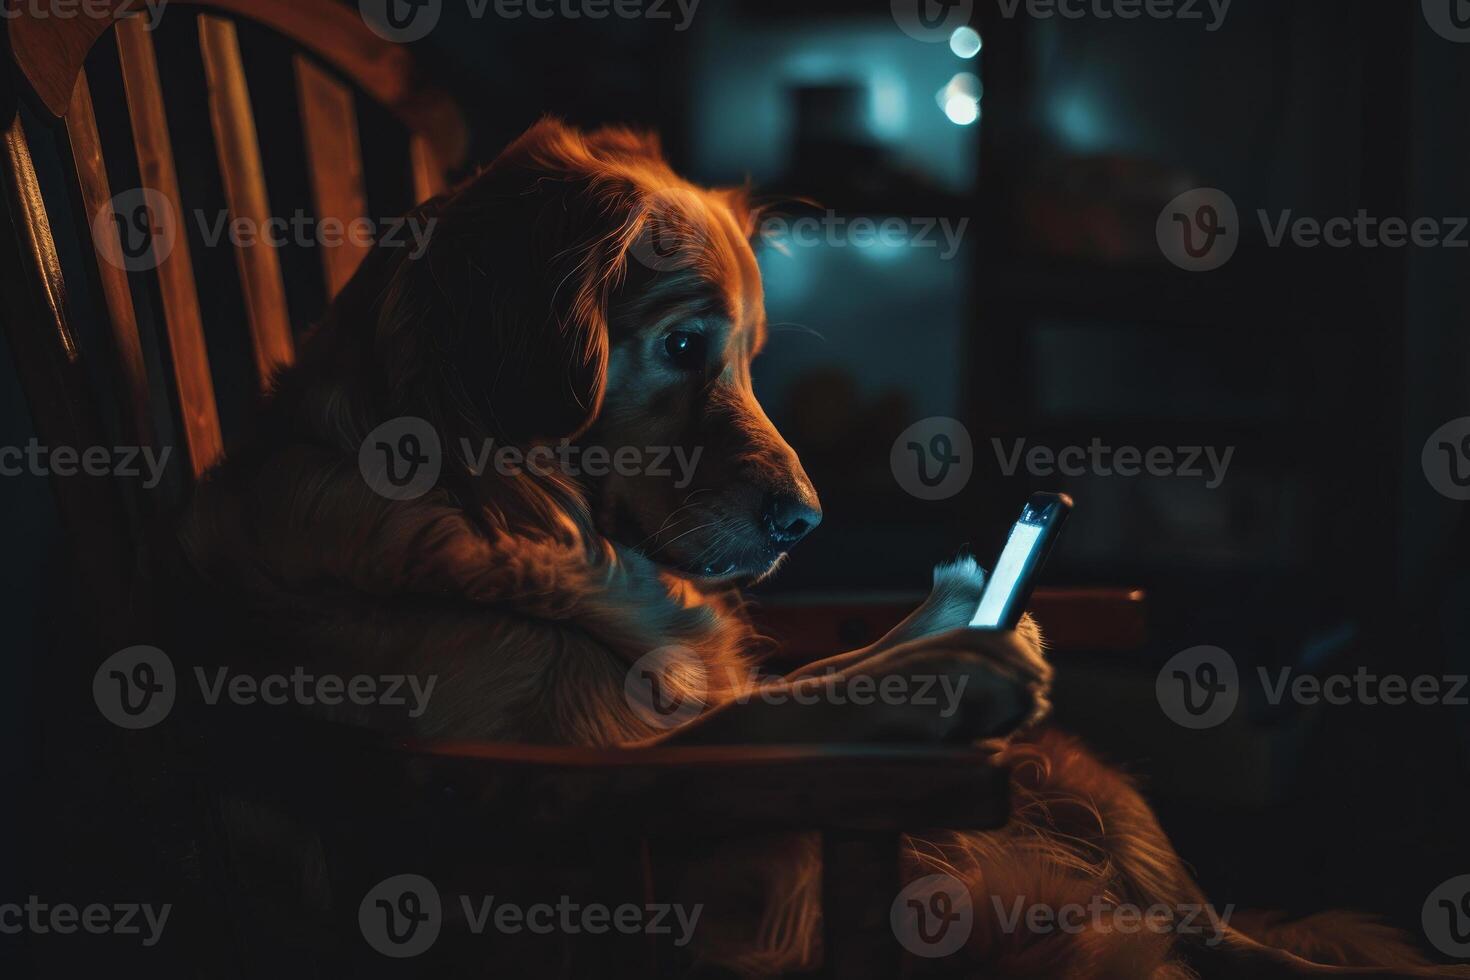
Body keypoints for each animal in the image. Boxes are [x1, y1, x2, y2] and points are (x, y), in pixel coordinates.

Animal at [174, 119, 1470, 975]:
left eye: (748, 353)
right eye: (683, 344)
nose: (807, 522)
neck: (493, 514)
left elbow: (786, 684)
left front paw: (951, 611)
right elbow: (752, 721)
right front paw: (945, 663)